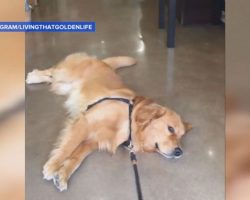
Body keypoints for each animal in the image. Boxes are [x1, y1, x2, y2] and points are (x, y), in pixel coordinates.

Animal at [25, 52, 191, 191]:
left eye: (181, 137)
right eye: (170, 129)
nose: (179, 152)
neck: (129, 119)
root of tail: (104, 62)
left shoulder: (92, 142)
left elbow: (76, 157)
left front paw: (63, 175)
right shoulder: (85, 121)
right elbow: (68, 147)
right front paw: (53, 166)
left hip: (63, 86)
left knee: (51, 78)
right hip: (66, 74)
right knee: (51, 71)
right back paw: (33, 76)